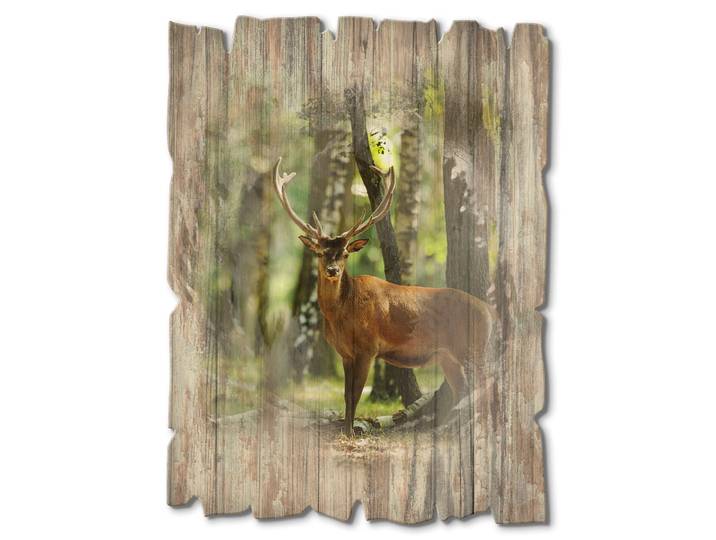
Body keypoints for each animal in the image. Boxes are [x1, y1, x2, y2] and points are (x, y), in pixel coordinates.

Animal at [273, 157, 497, 435]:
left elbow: (355, 395)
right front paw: (346, 429)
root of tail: (489, 311)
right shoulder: (345, 353)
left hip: (472, 345)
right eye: (321, 252)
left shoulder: (368, 347)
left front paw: (350, 434)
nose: (333, 270)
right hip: (448, 356)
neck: (341, 315)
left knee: (485, 386)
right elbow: (346, 396)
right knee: (463, 390)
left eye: (345, 253)